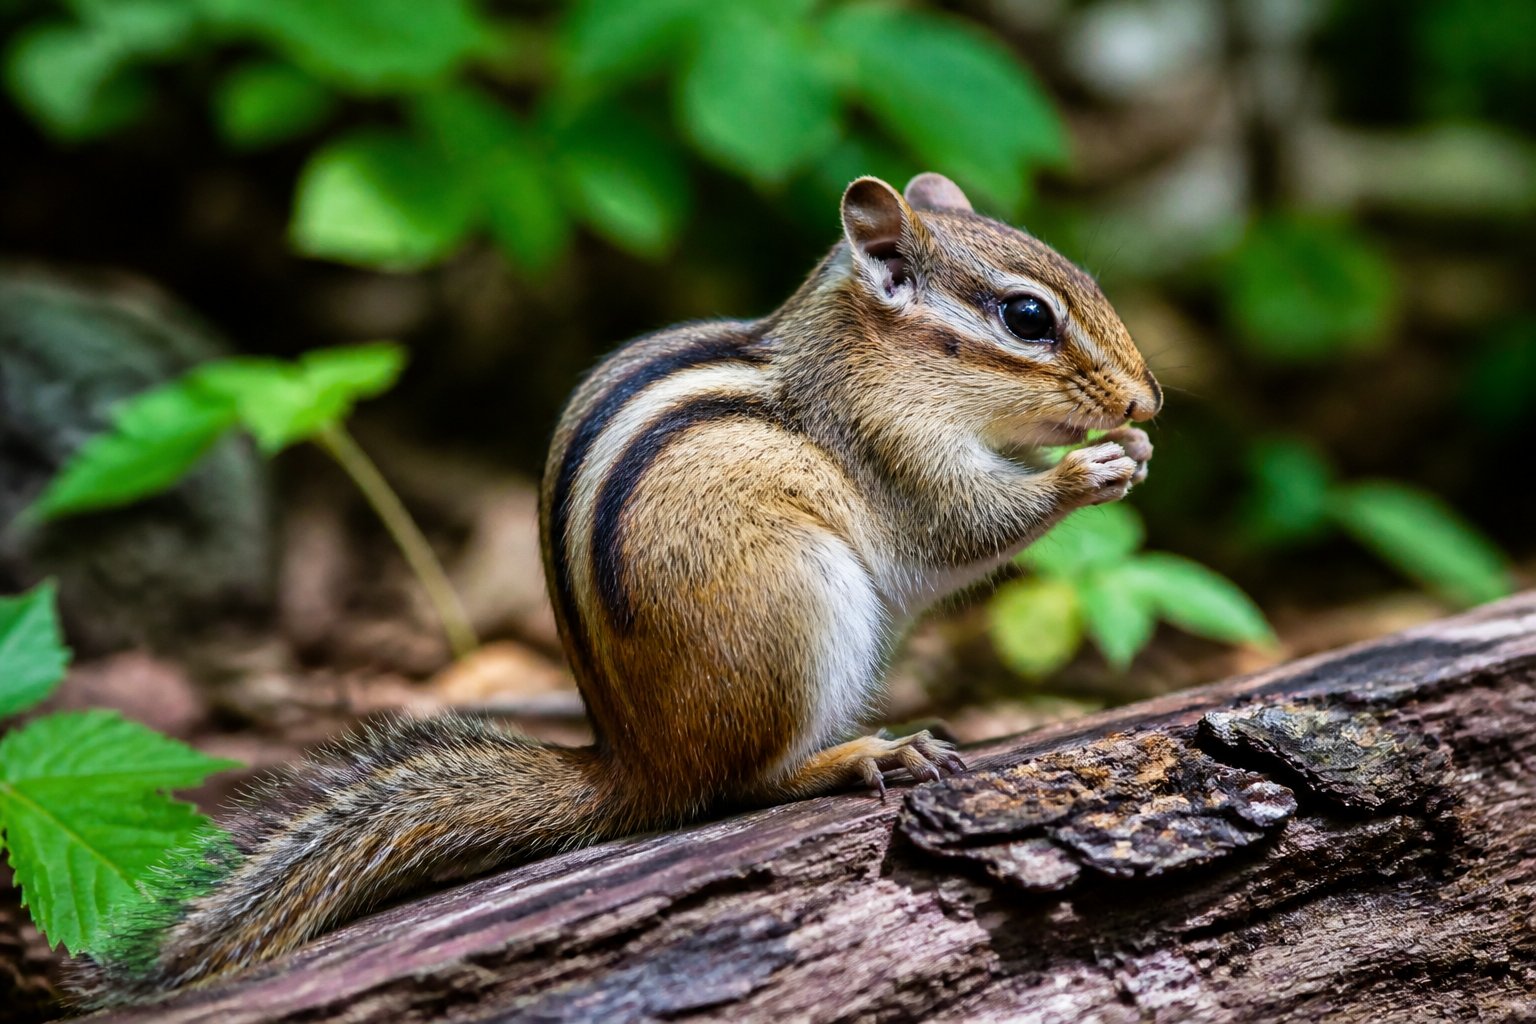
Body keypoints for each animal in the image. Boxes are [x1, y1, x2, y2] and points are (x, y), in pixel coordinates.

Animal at [74, 172, 1159, 1005]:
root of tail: (638, 764)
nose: (1147, 400)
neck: (866, 361)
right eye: (1027, 317)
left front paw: (1134, 451)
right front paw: (1089, 471)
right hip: (800, 608)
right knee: (741, 785)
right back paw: (860, 756)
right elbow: (963, 529)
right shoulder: (897, 456)